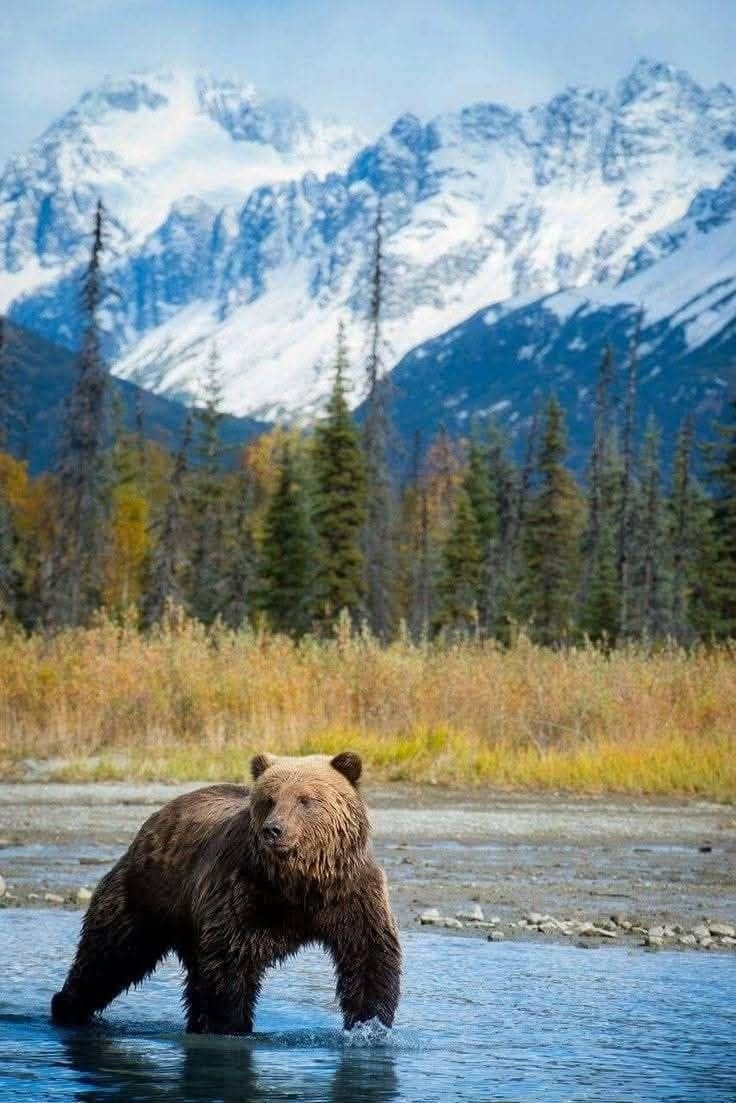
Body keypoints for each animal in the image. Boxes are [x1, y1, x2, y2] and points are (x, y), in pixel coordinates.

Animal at [51, 751, 401, 1035]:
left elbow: (370, 955)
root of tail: (157, 817)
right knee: (111, 954)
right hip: (148, 894)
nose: (273, 830)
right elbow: (231, 961)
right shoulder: (244, 893)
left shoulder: (350, 893)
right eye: (270, 799)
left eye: (305, 800)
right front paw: (230, 1026)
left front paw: (370, 1025)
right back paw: (67, 1008)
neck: (300, 881)